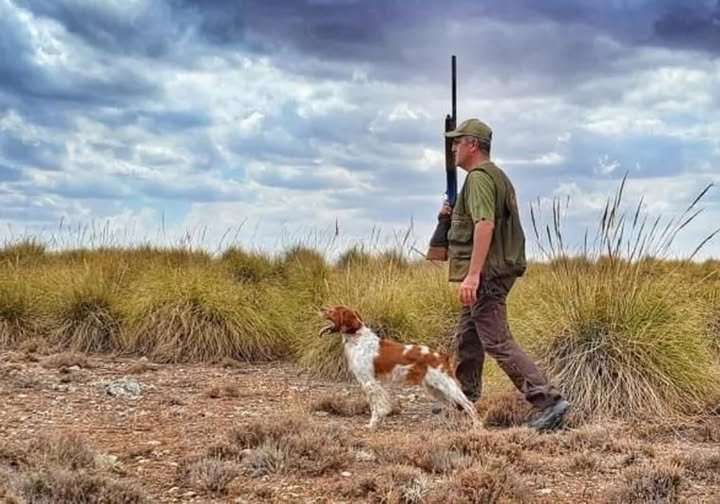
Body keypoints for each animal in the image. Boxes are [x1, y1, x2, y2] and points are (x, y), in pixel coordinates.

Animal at [318, 304, 480, 430]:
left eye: (332, 311)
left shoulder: (370, 383)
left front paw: (372, 425)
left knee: (468, 404)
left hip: (446, 386)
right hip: (434, 389)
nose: (321, 308)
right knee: (454, 406)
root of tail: (442, 355)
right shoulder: (374, 384)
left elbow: (376, 407)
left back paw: (477, 427)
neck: (358, 339)